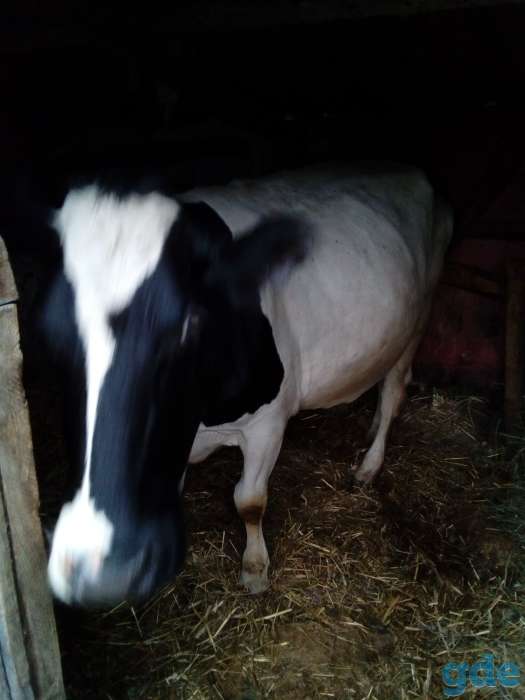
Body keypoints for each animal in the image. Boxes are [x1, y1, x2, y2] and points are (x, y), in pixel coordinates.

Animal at [42, 163, 452, 606]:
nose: (101, 573)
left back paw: (369, 465)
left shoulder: (267, 424)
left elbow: (249, 501)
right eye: (46, 327)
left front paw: (255, 569)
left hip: (418, 318)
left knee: (394, 392)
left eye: (191, 325)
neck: (201, 421)